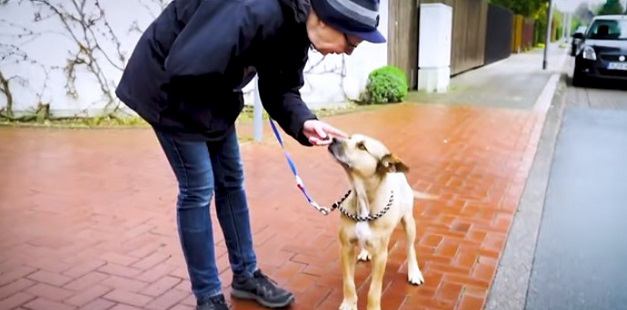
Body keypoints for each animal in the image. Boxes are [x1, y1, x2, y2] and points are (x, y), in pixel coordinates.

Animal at [328, 134, 432, 310]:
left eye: (362, 146)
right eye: (349, 137)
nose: (332, 139)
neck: (363, 198)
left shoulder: (381, 255)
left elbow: (374, 290)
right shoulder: (346, 247)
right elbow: (348, 282)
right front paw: (349, 303)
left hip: (409, 222)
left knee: (410, 248)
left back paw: (414, 272)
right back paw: (365, 252)